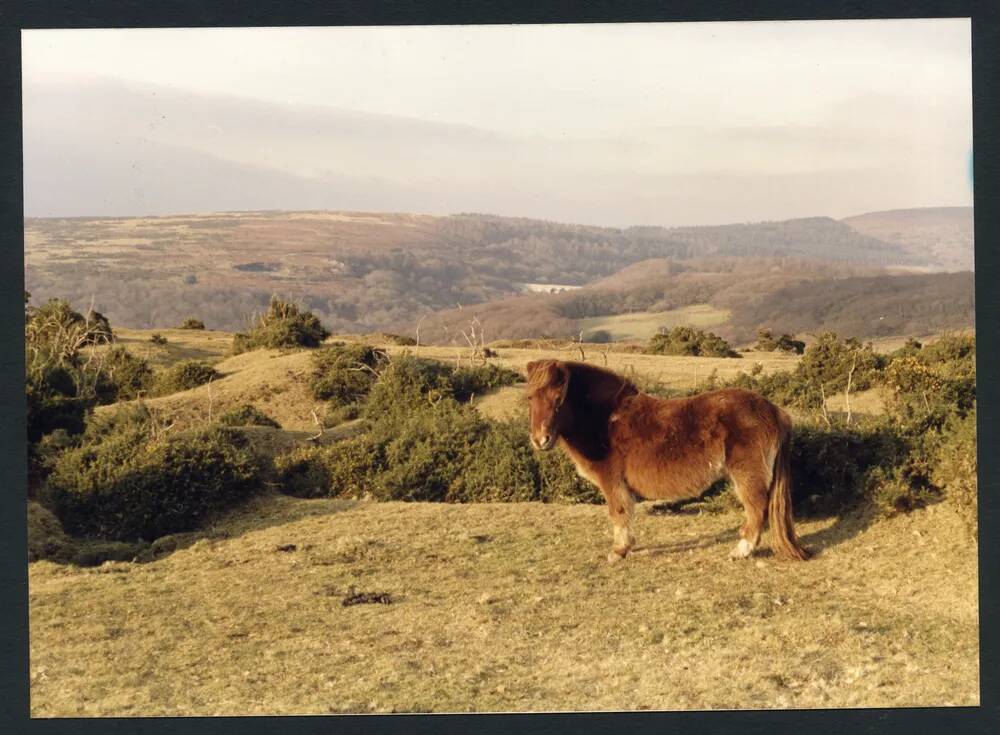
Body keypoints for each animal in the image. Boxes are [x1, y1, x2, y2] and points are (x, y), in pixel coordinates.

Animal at [528, 360, 808, 564]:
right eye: (530, 398)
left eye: (559, 398)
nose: (541, 440)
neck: (605, 420)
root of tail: (773, 410)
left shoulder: (612, 482)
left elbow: (619, 513)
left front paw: (618, 552)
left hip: (747, 475)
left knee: (757, 509)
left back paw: (741, 551)